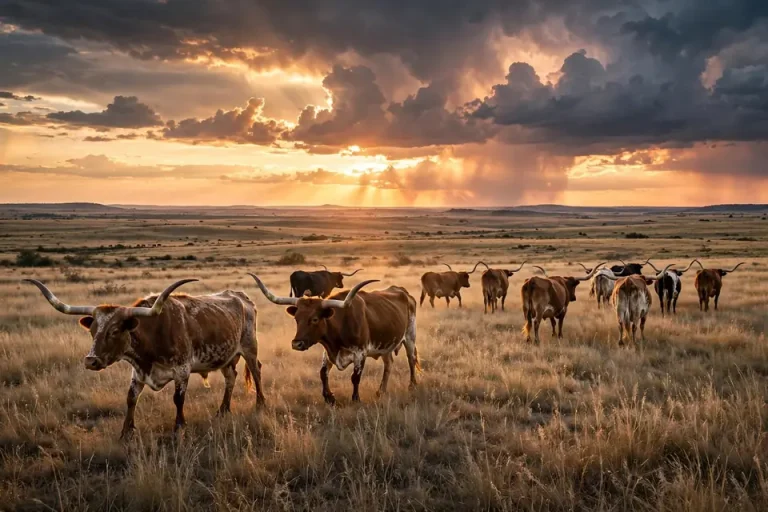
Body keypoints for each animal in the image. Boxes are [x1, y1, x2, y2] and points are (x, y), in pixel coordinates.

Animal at [24, 278, 265, 439]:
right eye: (92, 330)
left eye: (114, 330)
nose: (90, 361)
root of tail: (242, 297)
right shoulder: (138, 372)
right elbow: (130, 398)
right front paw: (126, 431)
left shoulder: (182, 370)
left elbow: (178, 399)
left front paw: (179, 427)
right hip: (226, 356)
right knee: (231, 377)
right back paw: (223, 409)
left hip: (250, 348)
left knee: (256, 371)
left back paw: (260, 404)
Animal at [248, 274, 419, 404]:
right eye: (297, 318)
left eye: (315, 319)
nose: (297, 344)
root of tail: (403, 291)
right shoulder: (328, 352)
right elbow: (322, 373)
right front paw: (329, 397)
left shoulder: (360, 352)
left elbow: (355, 377)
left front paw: (355, 399)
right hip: (386, 345)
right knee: (389, 364)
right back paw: (381, 391)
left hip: (410, 336)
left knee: (411, 359)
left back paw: (412, 385)